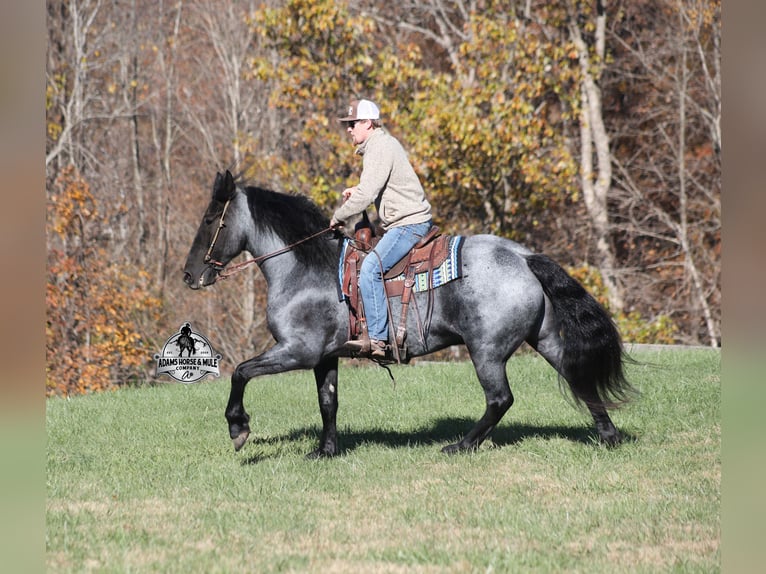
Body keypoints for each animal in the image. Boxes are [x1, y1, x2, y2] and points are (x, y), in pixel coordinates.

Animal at [183, 170, 635, 457]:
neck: (305, 269)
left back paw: (461, 446)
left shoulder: (298, 351)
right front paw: (325, 451)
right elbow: (328, 402)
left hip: (486, 350)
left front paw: (238, 428)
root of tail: (523, 257)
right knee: (577, 377)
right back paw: (608, 436)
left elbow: (241, 372)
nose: (189, 275)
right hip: (542, 338)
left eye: (210, 219)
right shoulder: (325, 357)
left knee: (499, 399)